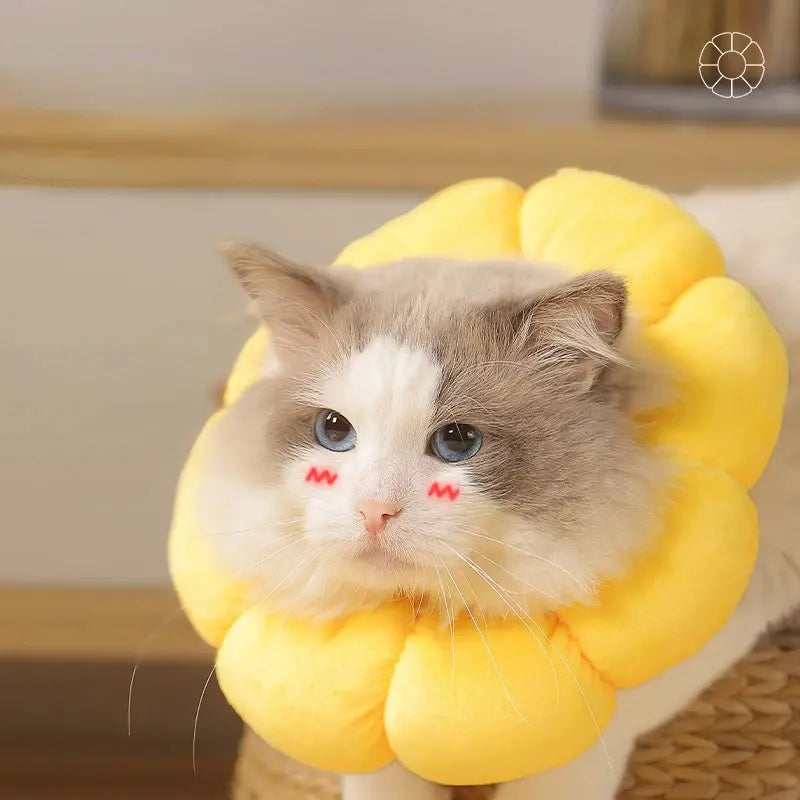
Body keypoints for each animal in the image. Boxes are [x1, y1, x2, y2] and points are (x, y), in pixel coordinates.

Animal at [197, 181, 796, 800]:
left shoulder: (744, 594)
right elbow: (380, 775)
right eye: (333, 431)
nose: (373, 511)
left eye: (458, 441)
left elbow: (570, 761)